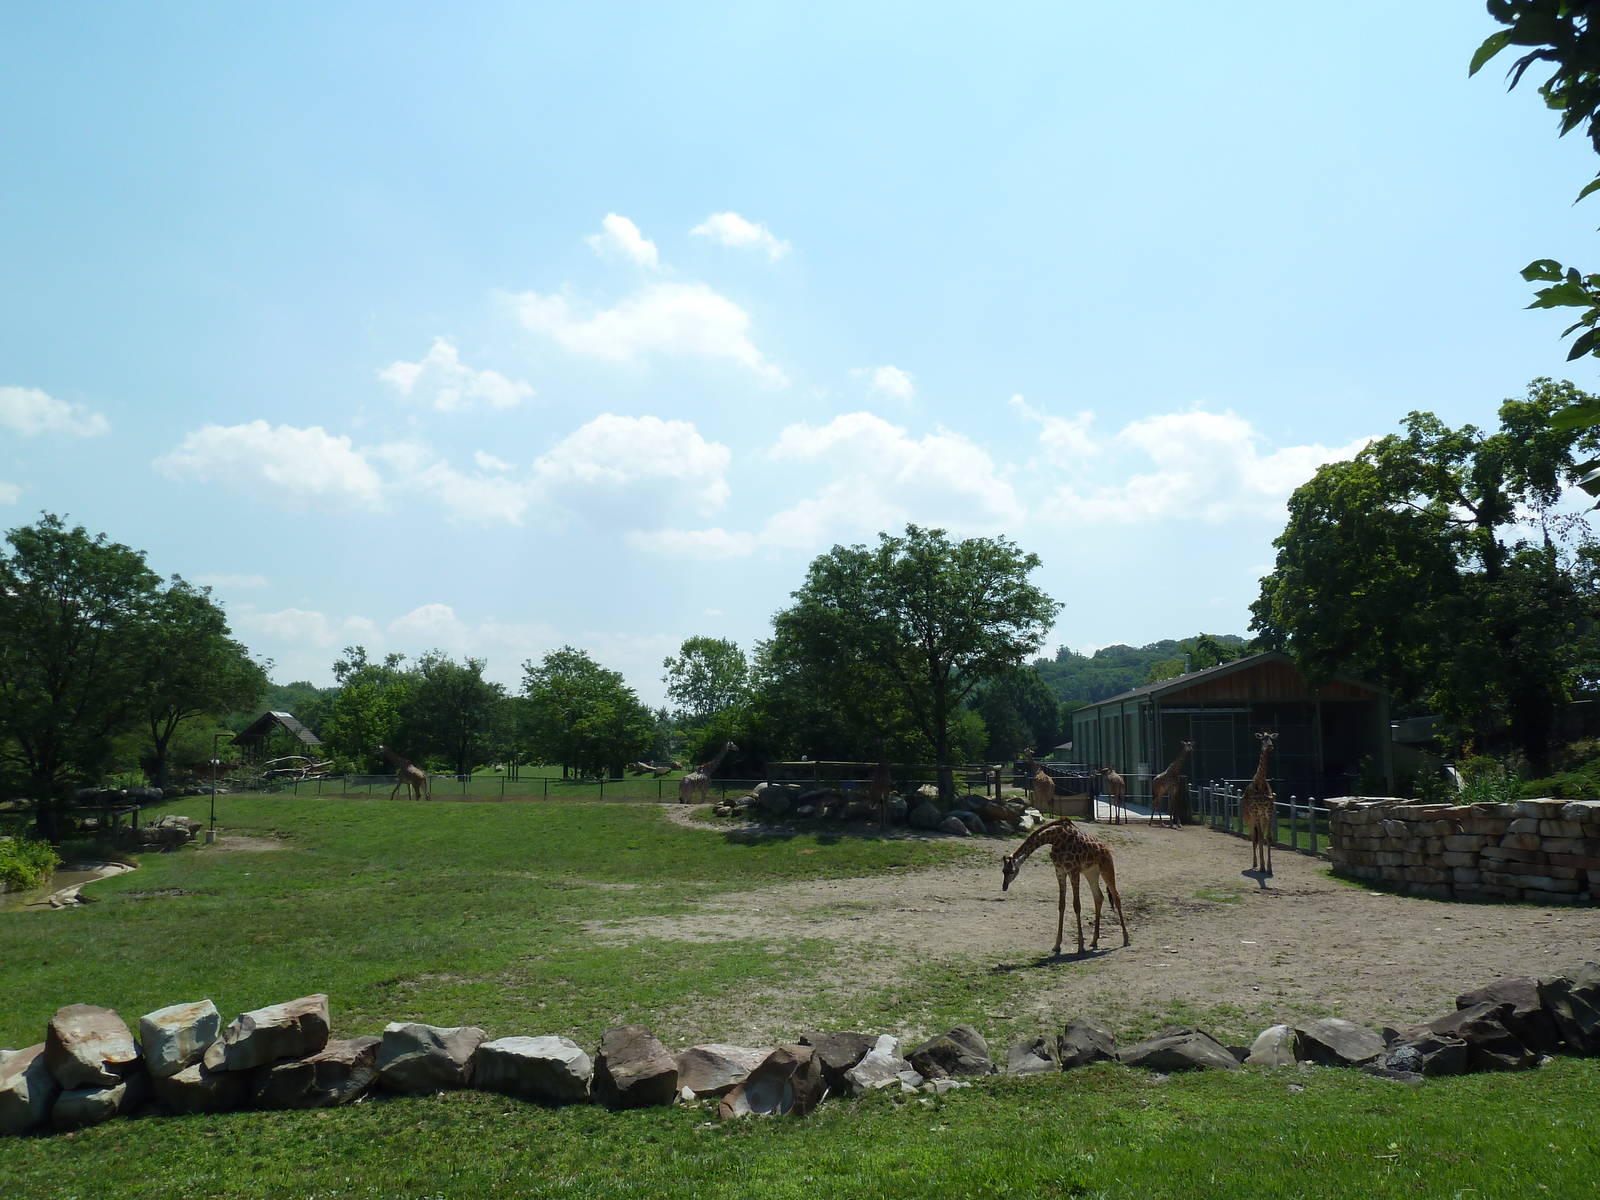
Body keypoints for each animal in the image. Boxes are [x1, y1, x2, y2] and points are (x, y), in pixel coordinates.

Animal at [1000, 817, 1131, 955]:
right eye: (1003, 871)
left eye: (1011, 871)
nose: (1004, 886)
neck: (1054, 838)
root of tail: (1106, 848)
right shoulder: (1059, 871)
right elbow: (1061, 905)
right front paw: (1057, 945)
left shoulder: (1073, 870)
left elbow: (1076, 905)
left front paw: (1080, 946)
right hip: (1091, 872)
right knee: (1099, 897)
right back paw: (1094, 941)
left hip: (1106, 866)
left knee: (1116, 896)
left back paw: (1126, 939)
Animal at [1242, 731, 1278, 874]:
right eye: (1262, 739)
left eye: (1272, 739)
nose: (1270, 746)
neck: (1261, 782)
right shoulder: (1256, 812)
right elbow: (1261, 838)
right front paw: (1262, 867)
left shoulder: (1269, 812)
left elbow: (1268, 838)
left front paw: (1270, 868)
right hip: (1249, 819)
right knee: (1253, 837)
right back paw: (1255, 864)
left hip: (1261, 819)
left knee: (1258, 837)